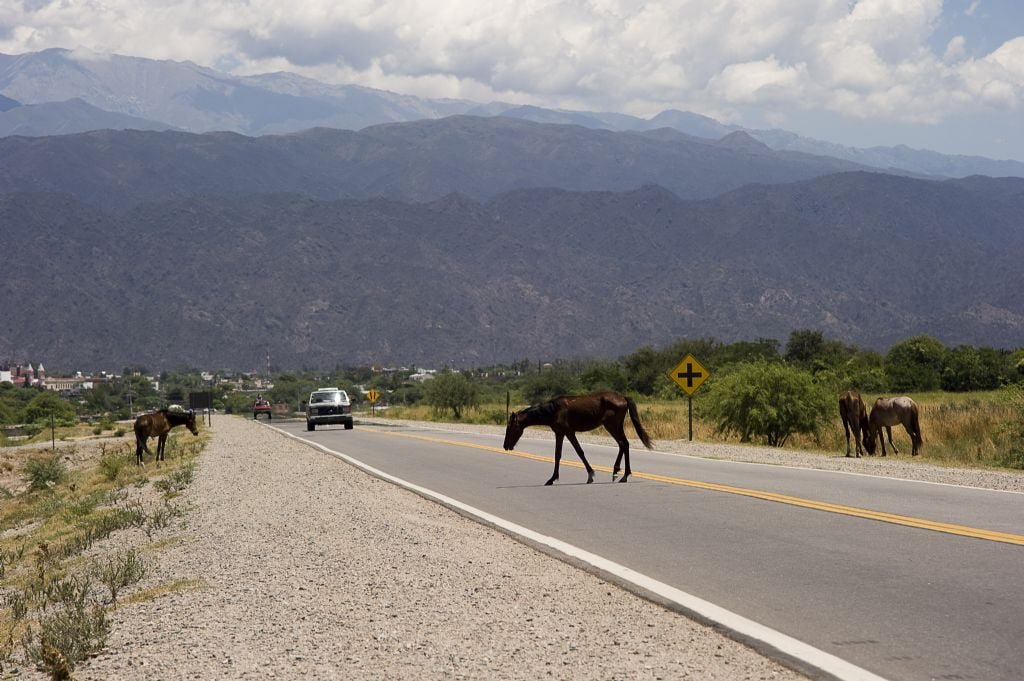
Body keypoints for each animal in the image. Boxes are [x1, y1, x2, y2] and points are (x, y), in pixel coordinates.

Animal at [503, 387, 655, 483]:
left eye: (510, 427)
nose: (505, 446)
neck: (553, 410)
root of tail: (623, 397)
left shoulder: (569, 432)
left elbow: (579, 451)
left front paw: (590, 475)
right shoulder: (559, 433)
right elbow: (557, 455)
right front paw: (551, 479)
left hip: (611, 426)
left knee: (623, 444)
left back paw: (621, 474)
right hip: (615, 426)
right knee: (624, 444)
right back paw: (620, 473)